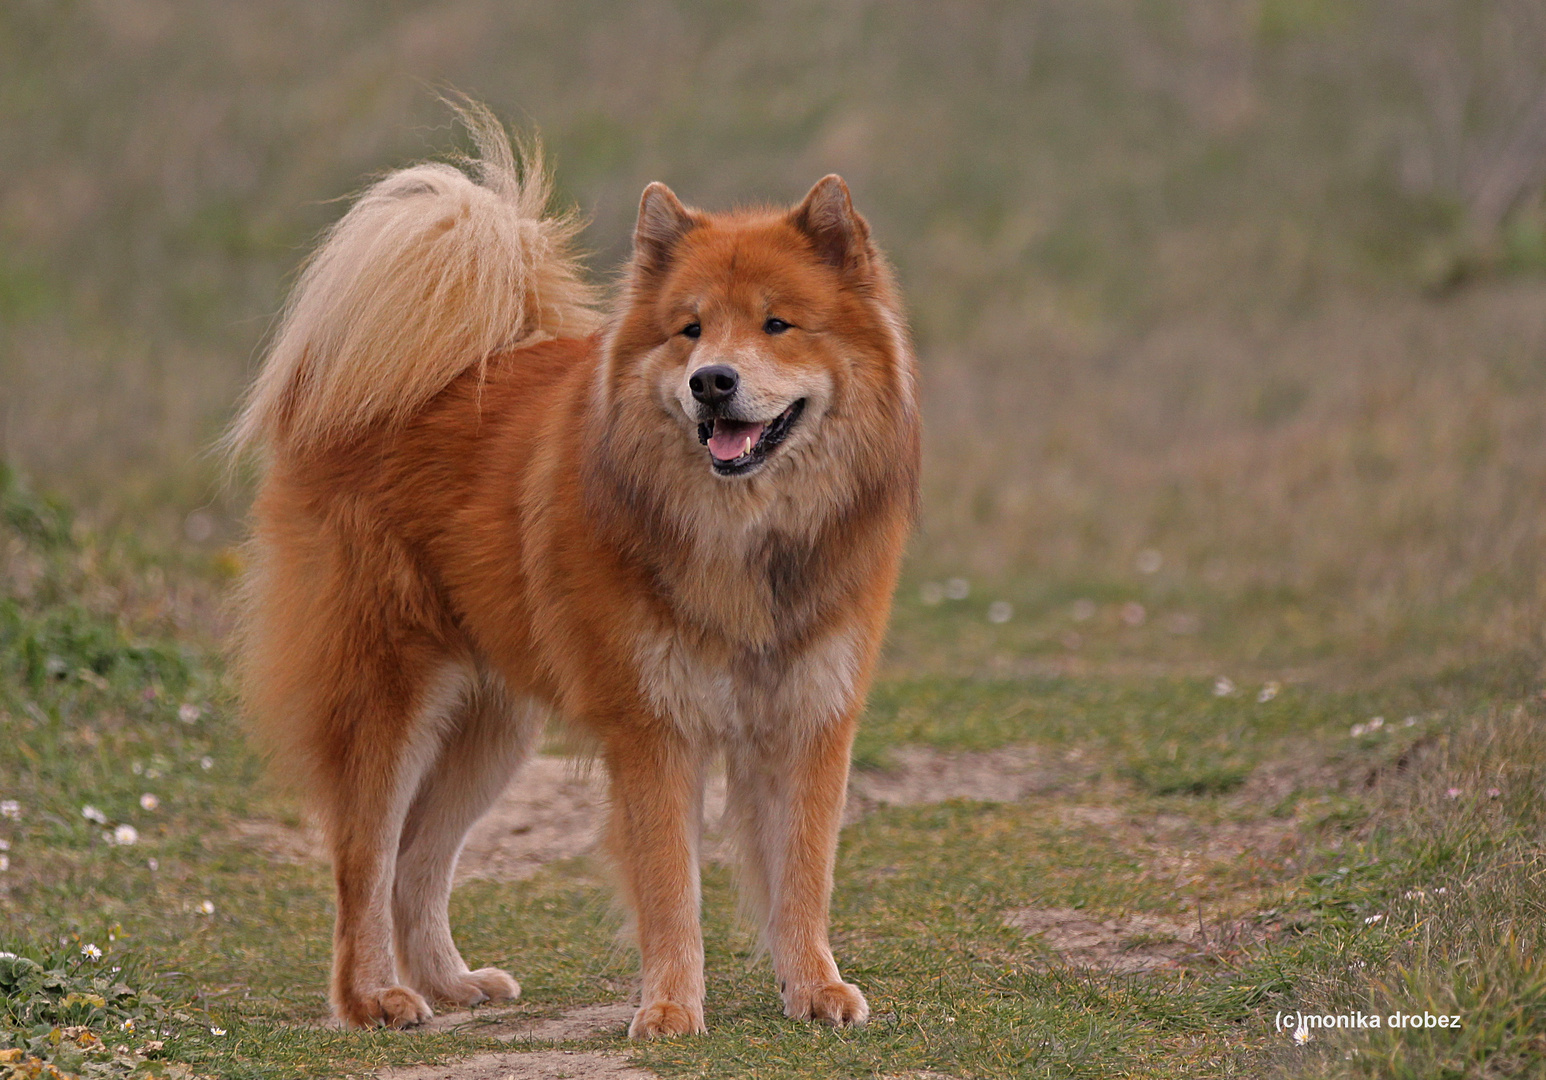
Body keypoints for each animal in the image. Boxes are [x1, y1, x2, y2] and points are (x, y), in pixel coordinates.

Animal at [228, 107, 915, 1038]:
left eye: (778, 325)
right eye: (691, 329)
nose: (712, 382)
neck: (744, 536)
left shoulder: (809, 719)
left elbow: (803, 873)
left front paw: (811, 986)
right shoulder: (654, 731)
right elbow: (670, 887)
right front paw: (670, 1008)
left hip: (489, 727)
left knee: (417, 860)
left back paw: (452, 983)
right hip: (388, 702)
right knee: (364, 863)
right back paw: (374, 998)